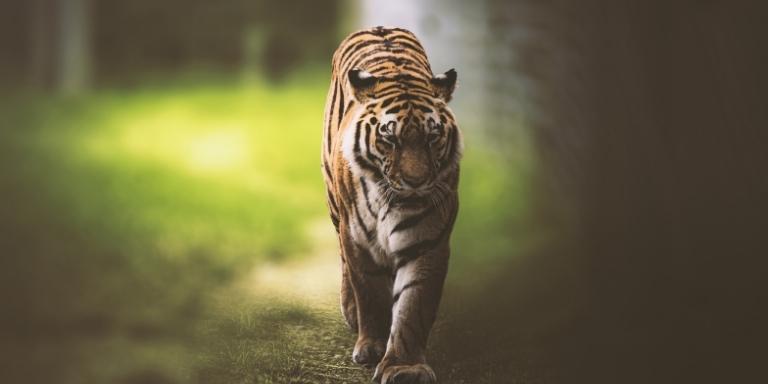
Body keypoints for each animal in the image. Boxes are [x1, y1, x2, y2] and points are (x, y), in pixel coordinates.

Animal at [320, 27, 460, 384]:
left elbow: (413, 304)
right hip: (335, 208)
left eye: (431, 138)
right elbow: (369, 290)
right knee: (344, 263)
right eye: (390, 139)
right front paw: (371, 345)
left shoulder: (428, 237)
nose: (416, 181)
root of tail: (378, 27)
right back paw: (351, 312)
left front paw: (404, 367)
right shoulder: (357, 237)